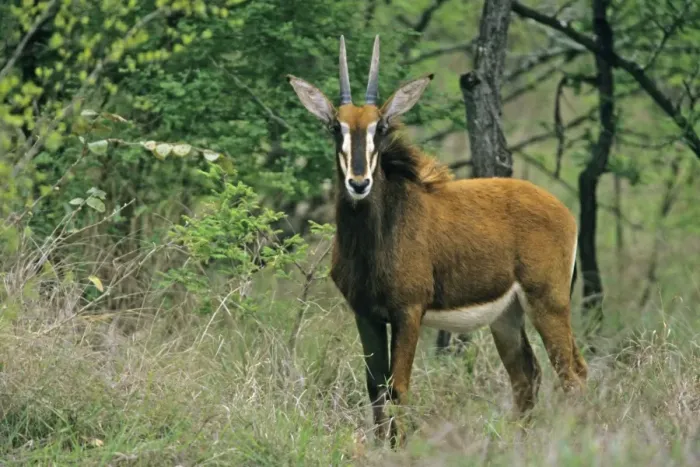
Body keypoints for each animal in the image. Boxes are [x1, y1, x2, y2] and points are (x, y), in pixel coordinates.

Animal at [287, 35, 587, 448]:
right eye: (336, 126)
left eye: (380, 127)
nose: (359, 183)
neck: (377, 237)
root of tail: (565, 212)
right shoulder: (365, 313)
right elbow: (374, 387)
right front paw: (381, 447)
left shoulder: (408, 311)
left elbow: (398, 387)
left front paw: (398, 448)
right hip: (507, 316)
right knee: (528, 376)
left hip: (548, 302)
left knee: (572, 374)